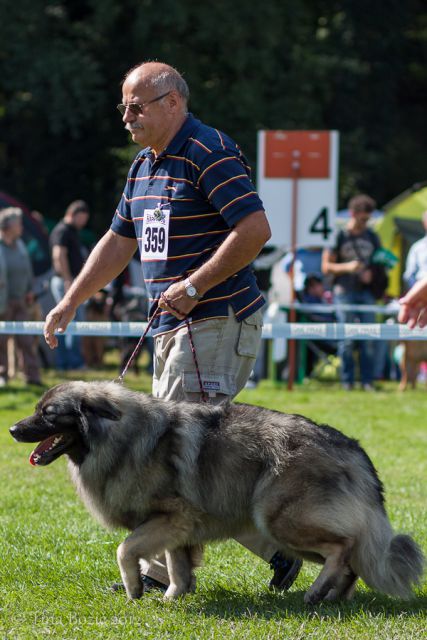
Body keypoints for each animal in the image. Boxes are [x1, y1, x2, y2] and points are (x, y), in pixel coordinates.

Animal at [9, 382, 424, 604]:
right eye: (37, 409)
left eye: (48, 414)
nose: (12, 429)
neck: (120, 436)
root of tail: (352, 448)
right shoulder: (177, 528)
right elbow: (176, 566)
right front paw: (172, 596)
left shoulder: (167, 518)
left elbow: (124, 550)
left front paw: (135, 589)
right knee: (351, 558)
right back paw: (333, 597)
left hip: (279, 518)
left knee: (342, 548)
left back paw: (316, 592)